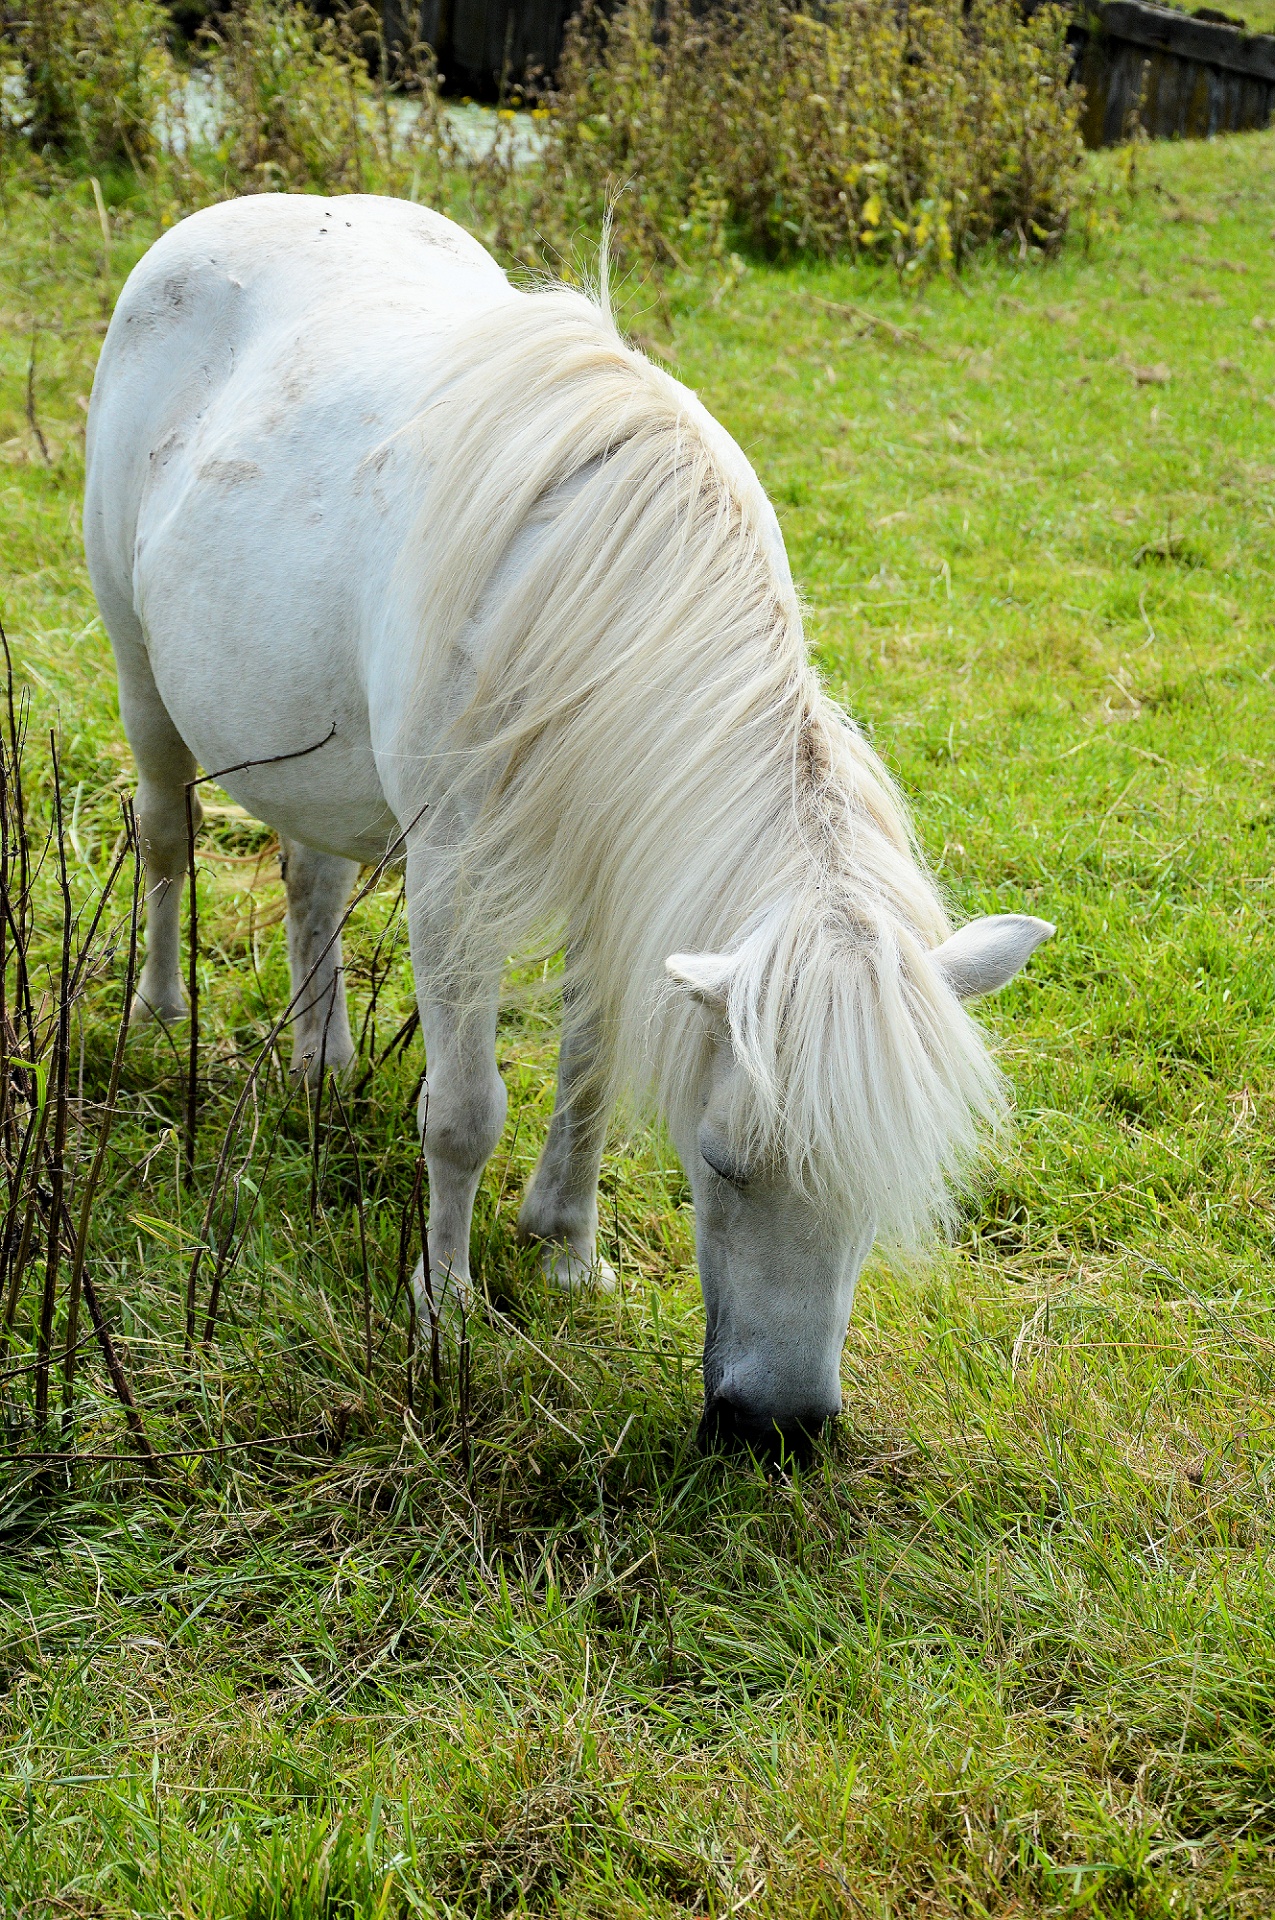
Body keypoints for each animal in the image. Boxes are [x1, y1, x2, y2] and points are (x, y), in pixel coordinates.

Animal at [84, 191, 1052, 1451]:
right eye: (721, 1162)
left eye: (883, 1190)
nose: (779, 1431)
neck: (601, 614)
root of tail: (233, 212)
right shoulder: (452, 877)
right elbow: (462, 1112)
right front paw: (444, 1309)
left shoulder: (612, 870)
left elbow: (589, 1070)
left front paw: (567, 1250)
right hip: (139, 671)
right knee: (164, 832)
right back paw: (159, 1014)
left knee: (312, 880)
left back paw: (322, 1060)